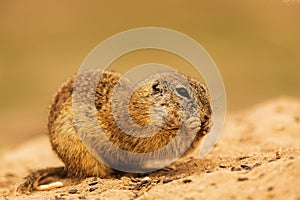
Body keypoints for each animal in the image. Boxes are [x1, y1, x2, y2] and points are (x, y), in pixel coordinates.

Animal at [17, 69, 212, 193]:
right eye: (182, 92)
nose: (208, 115)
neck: (146, 104)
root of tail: (66, 167)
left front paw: (204, 128)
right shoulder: (136, 128)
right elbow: (155, 143)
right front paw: (191, 126)